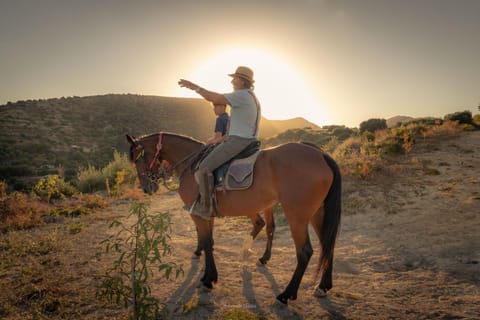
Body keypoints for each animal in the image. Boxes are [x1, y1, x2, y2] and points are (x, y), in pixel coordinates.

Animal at [125, 131, 340, 304]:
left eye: (137, 158)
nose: (146, 187)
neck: (191, 165)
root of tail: (321, 154)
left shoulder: (198, 215)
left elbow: (206, 241)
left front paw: (208, 279)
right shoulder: (206, 214)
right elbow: (209, 242)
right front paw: (208, 274)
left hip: (297, 216)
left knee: (304, 251)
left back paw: (287, 294)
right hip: (317, 213)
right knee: (326, 245)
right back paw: (323, 286)